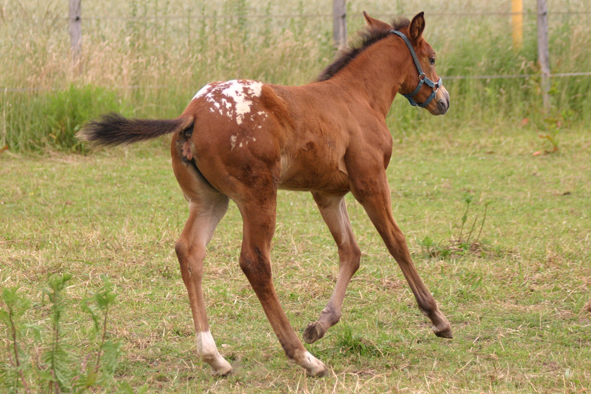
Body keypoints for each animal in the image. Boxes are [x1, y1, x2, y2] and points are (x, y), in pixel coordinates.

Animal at [81, 11, 454, 376]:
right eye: (432, 57)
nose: (444, 100)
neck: (357, 97)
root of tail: (193, 113)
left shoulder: (328, 193)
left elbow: (351, 251)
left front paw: (321, 324)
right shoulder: (370, 181)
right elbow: (396, 242)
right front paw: (437, 318)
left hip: (210, 200)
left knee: (190, 252)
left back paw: (215, 357)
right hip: (258, 195)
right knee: (255, 262)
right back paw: (304, 358)